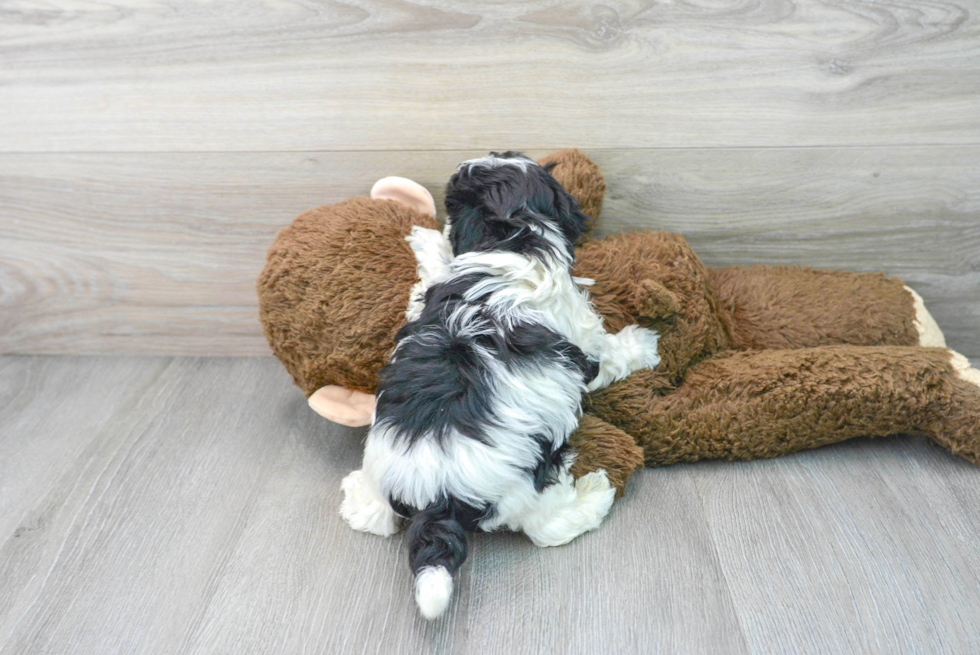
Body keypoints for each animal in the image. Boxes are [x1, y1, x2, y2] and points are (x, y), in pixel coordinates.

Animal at [340, 152, 664, 620]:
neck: (512, 242)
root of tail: (436, 496)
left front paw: (426, 240)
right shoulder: (582, 340)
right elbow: (608, 353)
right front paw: (645, 344)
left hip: (384, 469)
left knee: (376, 517)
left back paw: (355, 497)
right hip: (523, 492)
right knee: (548, 527)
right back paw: (594, 493)